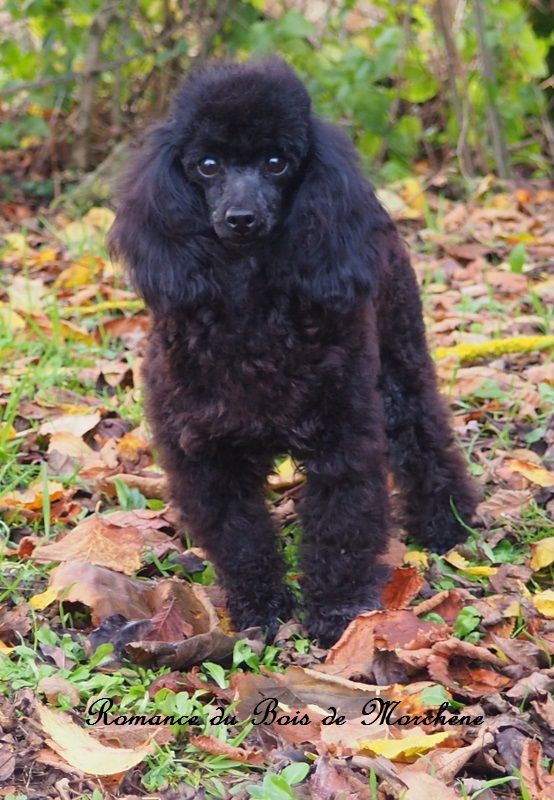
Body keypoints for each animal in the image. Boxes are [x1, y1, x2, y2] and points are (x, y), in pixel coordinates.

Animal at [108, 57, 474, 644]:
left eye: (277, 163)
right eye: (207, 165)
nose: (241, 218)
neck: (249, 309)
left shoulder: (344, 436)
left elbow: (341, 528)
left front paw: (336, 615)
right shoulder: (204, 449)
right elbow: (239, 536)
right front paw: (261, 609)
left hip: (400, 356)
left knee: (425, 434)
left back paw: (447, 524)